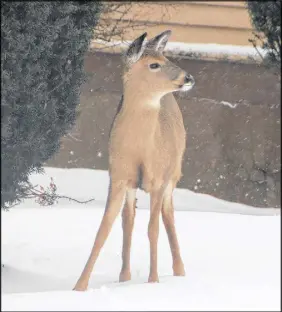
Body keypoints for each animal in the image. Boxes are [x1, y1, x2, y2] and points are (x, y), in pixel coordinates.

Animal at [74, 30, 195, 292]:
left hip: (174, 172)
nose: (188, 77)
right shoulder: (117, 177)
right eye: (154, 64)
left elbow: (153, 229)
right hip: (133, 184)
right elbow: (104, 228)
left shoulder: (159, 179)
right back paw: (124, 276)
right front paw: (79, 286)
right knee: (128, 218)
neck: (141, 151)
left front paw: (153, 280)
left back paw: (179, 272)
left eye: (166, 57)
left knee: (168, 214)